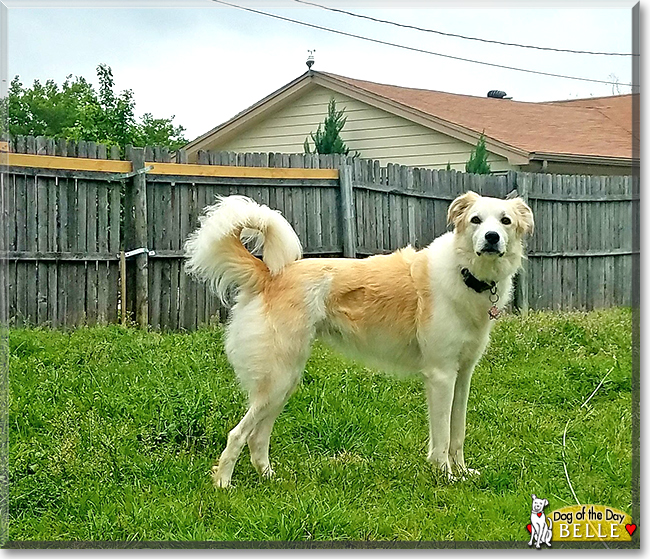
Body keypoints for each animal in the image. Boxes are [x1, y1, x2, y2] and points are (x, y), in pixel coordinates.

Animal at [182, 190, 532, 488]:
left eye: (505, 221)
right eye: (476, 220)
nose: (491, 238)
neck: (465, 273)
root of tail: (270, 274)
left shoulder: (463, 376)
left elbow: (457, 432)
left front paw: (461, 472)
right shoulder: (441, 376)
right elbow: (442, 437)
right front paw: (444, 477)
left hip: (285, 380)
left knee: (257, 437)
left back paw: (269, 478)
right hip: (278, 379)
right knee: (237, 434)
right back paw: (223, 484)